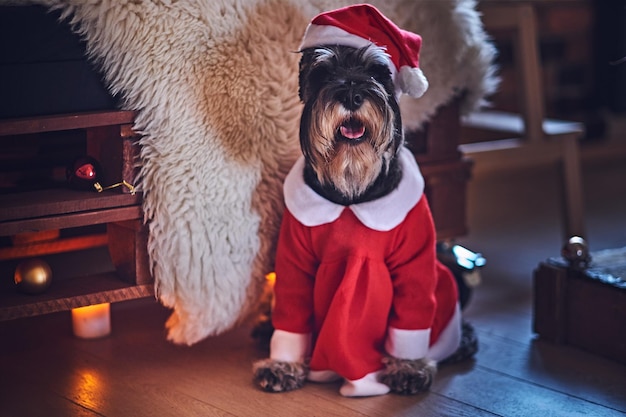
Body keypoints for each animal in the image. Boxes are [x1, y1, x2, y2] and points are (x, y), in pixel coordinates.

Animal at [251, 4, 476, 396]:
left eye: (377, 72)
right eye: (323, 72)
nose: (353, 95)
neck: (351, 194)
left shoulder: (414, 265)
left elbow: (411, 315)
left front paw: (408, 367)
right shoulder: (294, 261)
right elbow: (291, 313)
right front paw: (282, 364)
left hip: (443, 283)